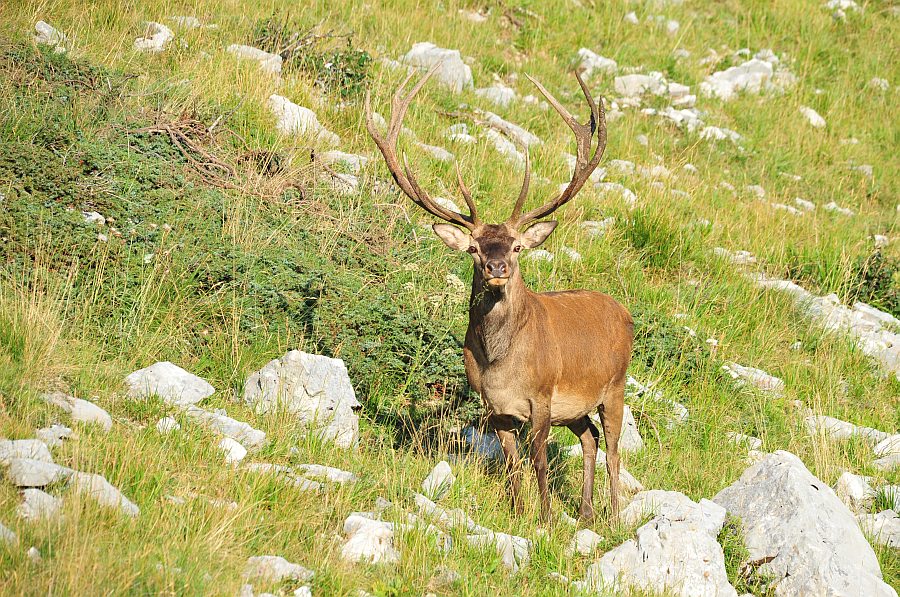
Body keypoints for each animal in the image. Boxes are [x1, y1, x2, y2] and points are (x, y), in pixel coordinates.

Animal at [366, 65, 632, 520]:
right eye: (474, 248)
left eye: (517, 246)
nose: (497, 268)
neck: (501, 364)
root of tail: (626, 314)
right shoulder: (494, 406)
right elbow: (512, 463)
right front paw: (519, 512)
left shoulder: (542, 396)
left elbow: (539, 458)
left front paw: (545, 519)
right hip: (576, 407)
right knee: (590, 437)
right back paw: (585, 511)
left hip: (615, 386)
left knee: (614, 448)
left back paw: (612, 516)